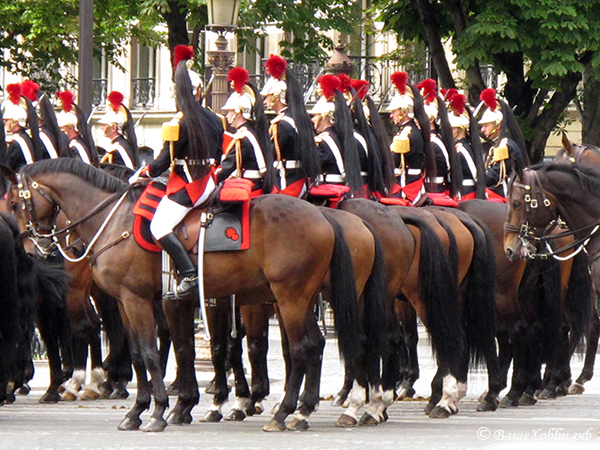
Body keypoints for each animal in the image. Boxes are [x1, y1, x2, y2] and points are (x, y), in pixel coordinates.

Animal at [2, 159, 360, 432]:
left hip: (290, 298)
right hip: (300, 299)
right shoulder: (128, 302)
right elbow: (142, 353)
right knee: (314, 345)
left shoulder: (138, 299)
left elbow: (150, 353)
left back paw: (286, 412)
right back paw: (302, 410)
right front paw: (141, 410)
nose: (33, 252)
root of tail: (321, 215)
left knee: (300, 348)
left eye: (16, 203)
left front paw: (159, 411)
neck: (113, 220)